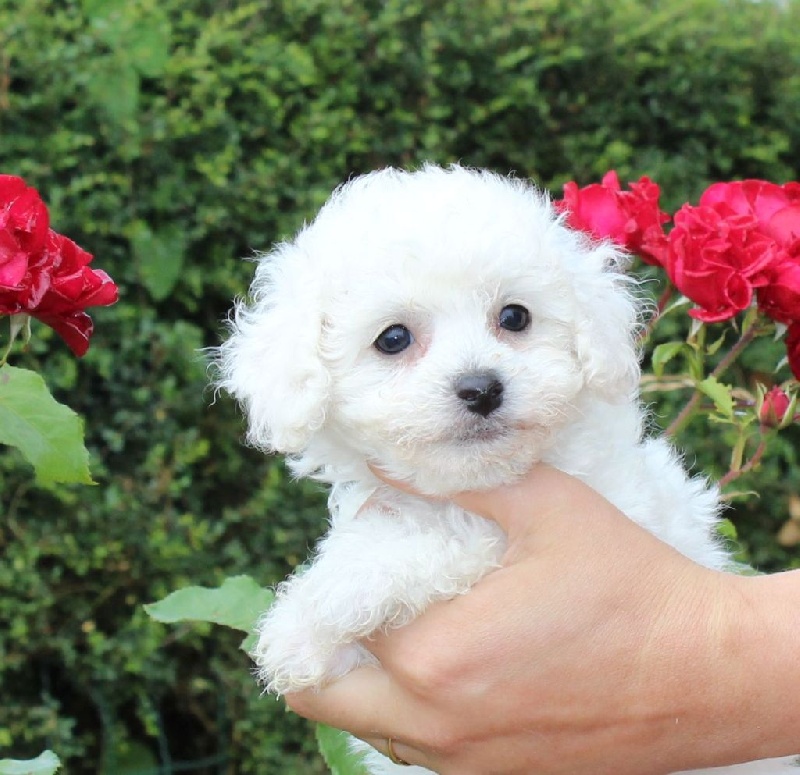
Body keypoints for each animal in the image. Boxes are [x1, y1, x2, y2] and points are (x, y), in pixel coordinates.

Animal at [216, 165, 796, 775]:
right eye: (393, 338)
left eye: (515, 317)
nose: (480, 388)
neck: (480, 478)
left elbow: (445, 538)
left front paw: (313, 611)